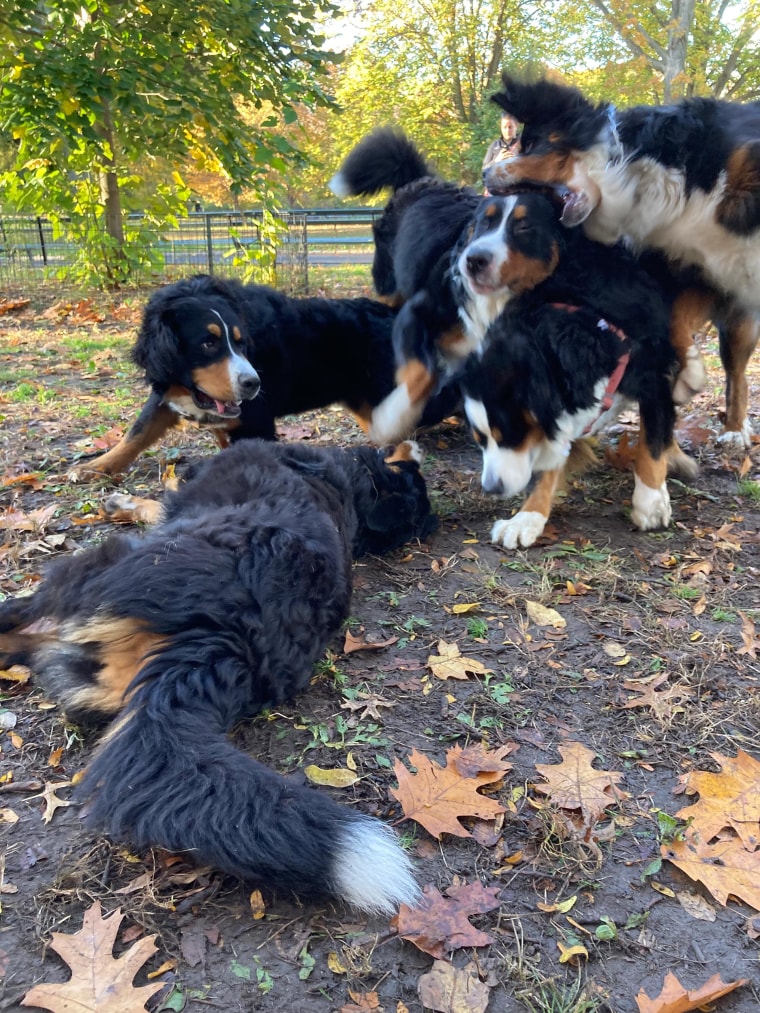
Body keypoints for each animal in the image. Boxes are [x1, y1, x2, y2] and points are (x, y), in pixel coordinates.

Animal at [1, 439, 439, 915]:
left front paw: (125, 499)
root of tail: (226, 640)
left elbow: (157, 500)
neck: (348, 485)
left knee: (24, 618)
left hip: (102, 564)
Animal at [69, 273, 458, 482]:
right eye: (208, 343)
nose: (252, 384)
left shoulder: (255, 419)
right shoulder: (168, 390)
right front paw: (97, 466)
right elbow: (136, 432)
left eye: (241, 342)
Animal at [456, 192, 701, 551]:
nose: (491, 489)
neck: (590, 321)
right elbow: (554, 461)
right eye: (479, 439)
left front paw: (651, 501)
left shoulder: (651, 373)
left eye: (512, 436)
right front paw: (527, 517)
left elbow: (653, 437)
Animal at [484, 73, 757, 449]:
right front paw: (687, 374)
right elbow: (672, 321)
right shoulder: (695, 267)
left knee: (736, 372)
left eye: (532, 144)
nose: (485, 175)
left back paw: (734, 428)